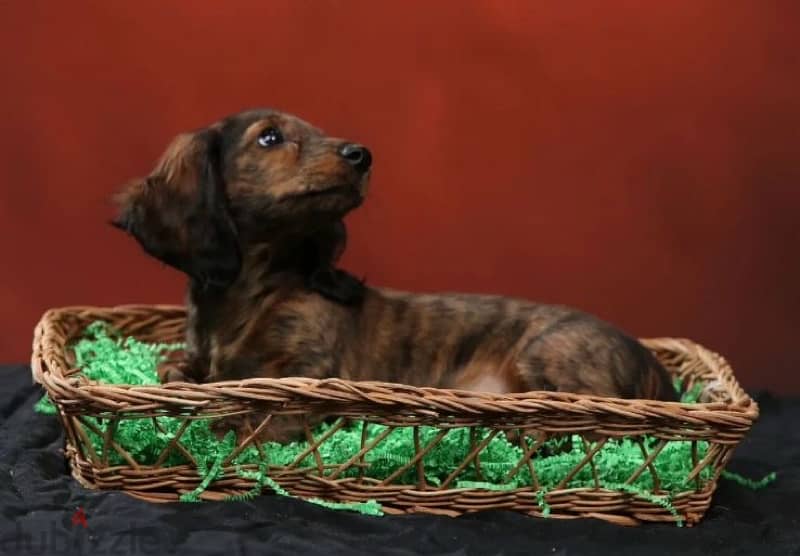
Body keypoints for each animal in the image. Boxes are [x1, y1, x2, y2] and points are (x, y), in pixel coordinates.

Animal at [112, 107, 676, 438]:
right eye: (269, 138)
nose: (362, 155)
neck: (256, 293)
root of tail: (658, 371)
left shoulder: (309, 378)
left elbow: (246, 415)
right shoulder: (195, 361)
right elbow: (174, 372)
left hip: (551, 354)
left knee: (579, 417)